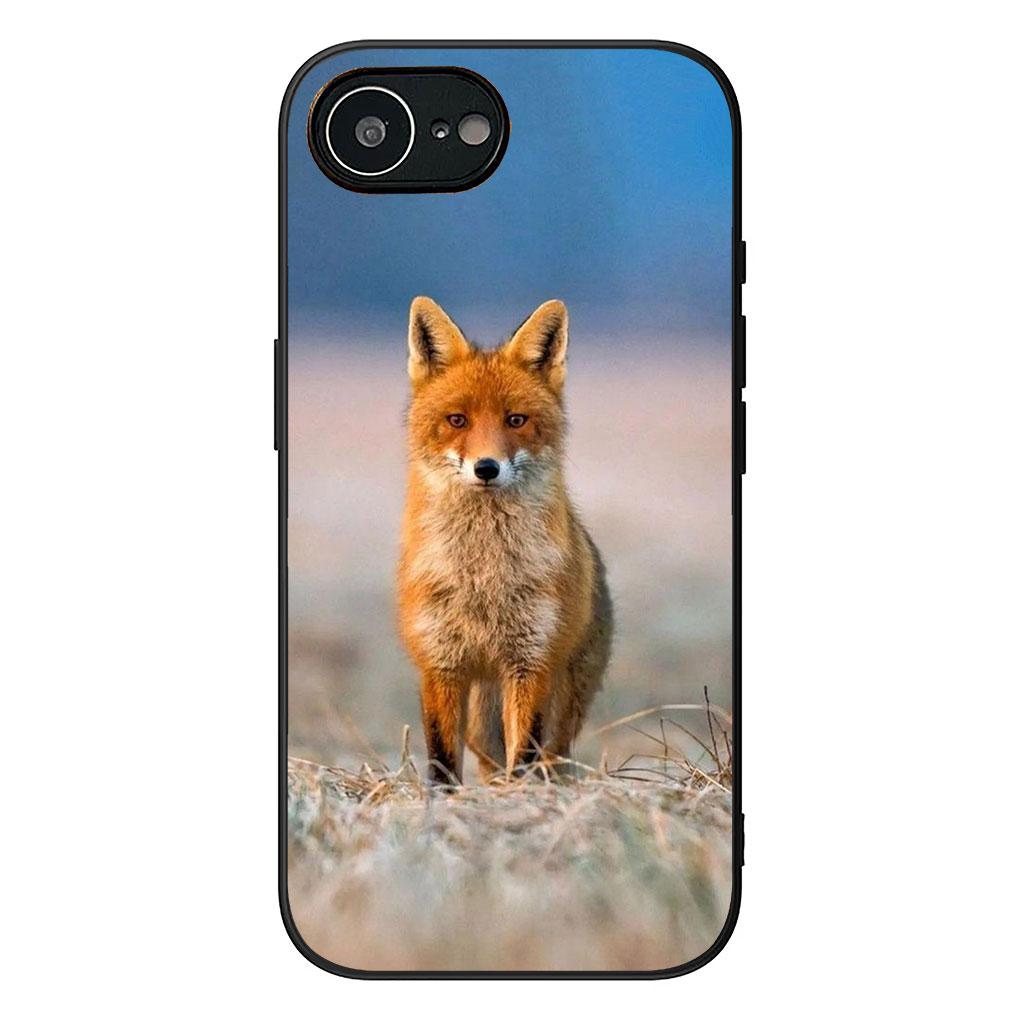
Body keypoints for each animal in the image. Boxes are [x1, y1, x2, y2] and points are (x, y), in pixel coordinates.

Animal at [397, 296, 612, 784]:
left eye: (516, 420)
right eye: (457, 420)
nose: (486, 468)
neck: (483, 578)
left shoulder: (530, 662)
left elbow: (525, 754)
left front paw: (520, 800)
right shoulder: (440, 664)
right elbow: (441, 760)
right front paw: (444, 801)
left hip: (563, 706)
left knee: (550, 758)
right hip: (481, 723)